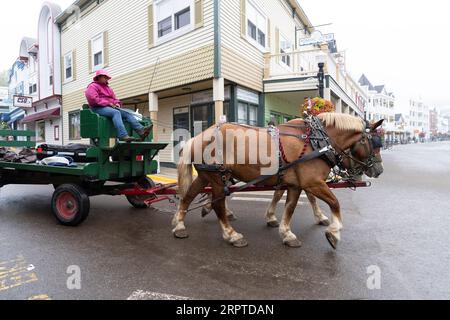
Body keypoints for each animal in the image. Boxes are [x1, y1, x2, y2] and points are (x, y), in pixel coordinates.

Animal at [172, 113, 384, 250]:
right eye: (374, 143)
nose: (379, 170)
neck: (317, 141)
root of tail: (198, 137)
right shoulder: (313, 182)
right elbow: (335, 203)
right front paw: (334, 232)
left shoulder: (295, 184)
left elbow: (289, 207)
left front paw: (286, 233)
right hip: (217, 178)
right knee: (218, 206)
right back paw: (232, 235)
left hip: (205, 176)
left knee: (188, 196)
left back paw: (180, 225)